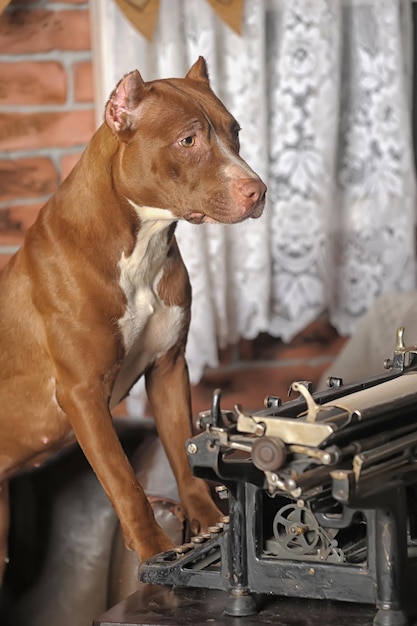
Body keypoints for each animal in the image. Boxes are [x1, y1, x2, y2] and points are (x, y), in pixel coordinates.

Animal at [0, 58, 266, 580]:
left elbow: (183, 452)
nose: (258, 191)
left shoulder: (168, 369)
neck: (140, 242)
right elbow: (123, 480)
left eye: (235, 132)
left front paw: (206, 521)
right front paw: (153, 549)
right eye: (189, 140)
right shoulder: (82, 395)